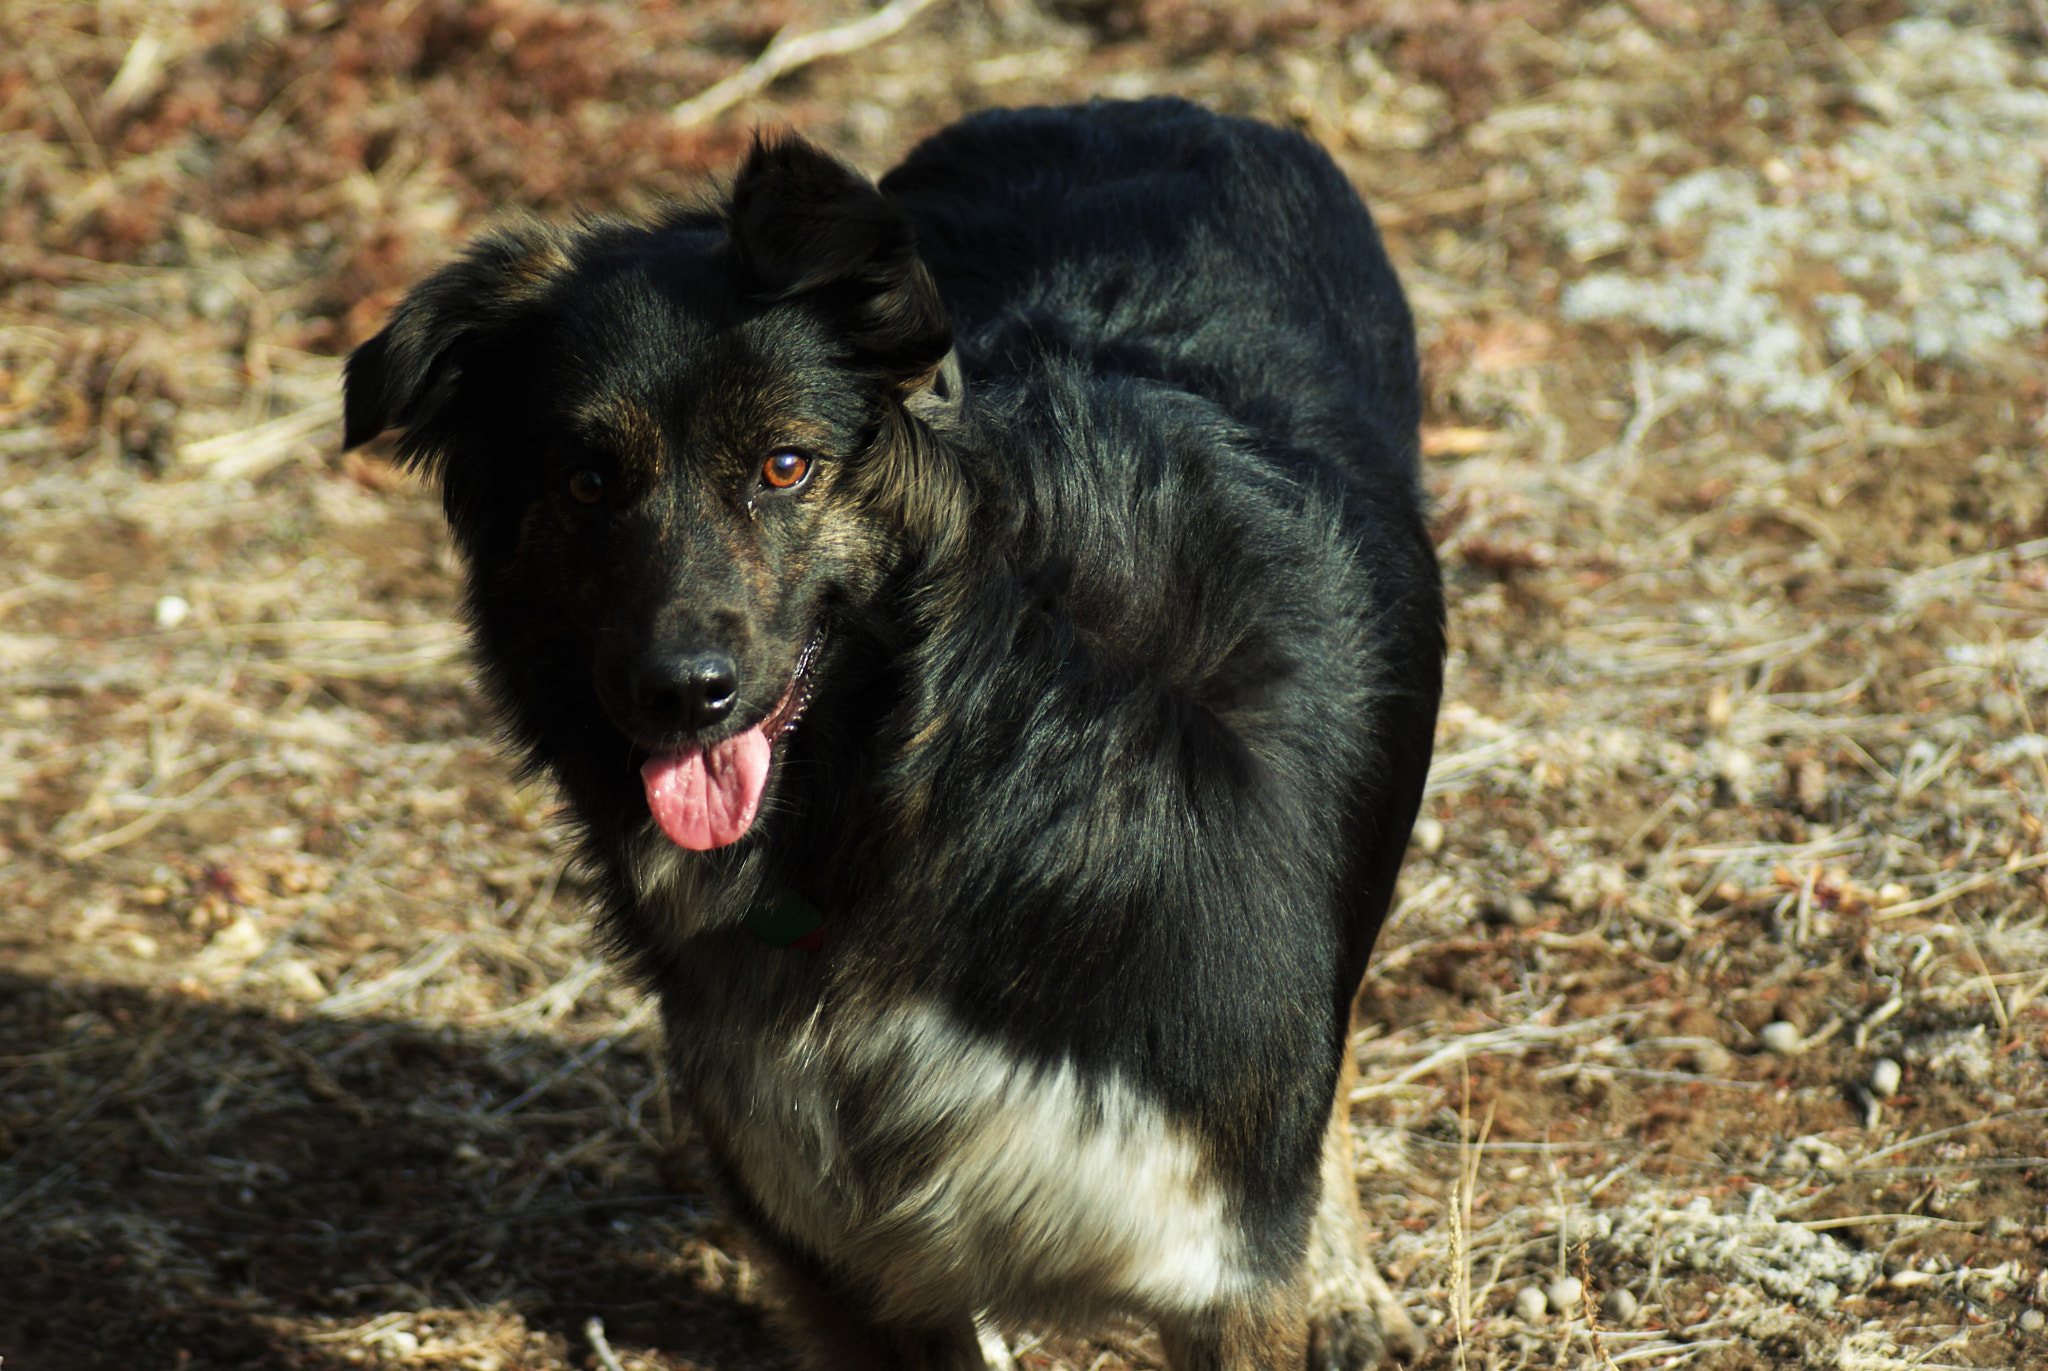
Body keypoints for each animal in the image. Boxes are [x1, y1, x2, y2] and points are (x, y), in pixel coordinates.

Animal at [339, 98, 1441, 1368]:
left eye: (786, 466)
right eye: (584, 482)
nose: (680, 693)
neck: (935, 785)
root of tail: (1153, 106)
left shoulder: (1210, 1249)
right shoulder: (842, 1253)